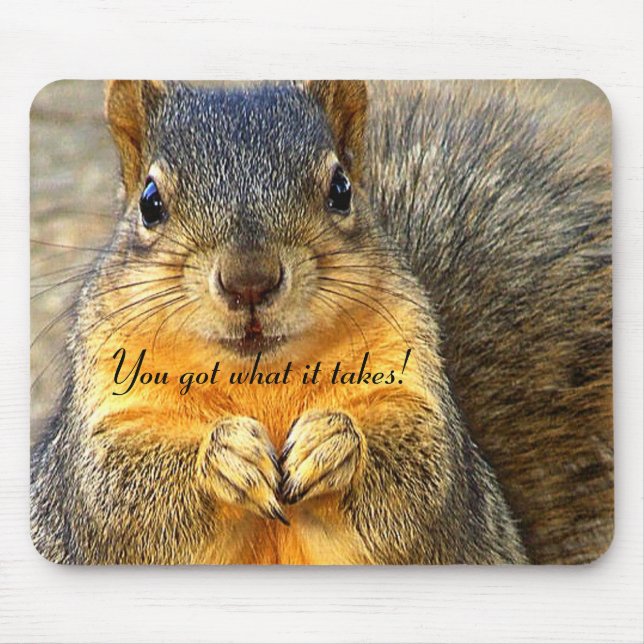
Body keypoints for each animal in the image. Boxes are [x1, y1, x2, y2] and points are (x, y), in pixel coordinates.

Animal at [30, 79, 611, 565]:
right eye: (150, 203)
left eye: (341, 189)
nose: (249, 280)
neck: (259, 375)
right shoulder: (105, 420)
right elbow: (115, 494)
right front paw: (224, 454)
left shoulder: (417, 395)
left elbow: (424, 479)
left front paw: (333, 442)